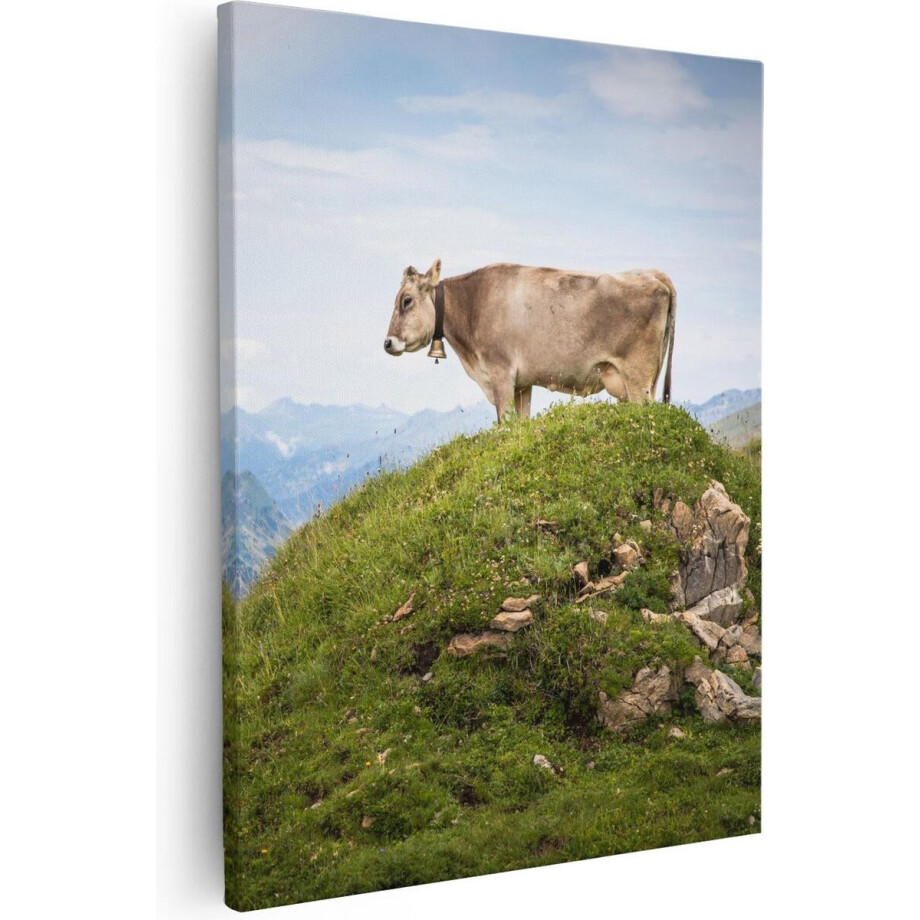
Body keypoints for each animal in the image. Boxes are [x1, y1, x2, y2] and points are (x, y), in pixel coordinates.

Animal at [383, 259, 676, 422]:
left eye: (406, 300)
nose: (387, 343)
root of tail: (653, 274)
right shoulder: (522, 384)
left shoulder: (500, 373)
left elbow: (504, 424)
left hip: (638, 376)